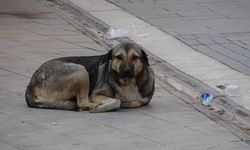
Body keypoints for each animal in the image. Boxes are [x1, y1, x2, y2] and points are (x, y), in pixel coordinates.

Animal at [25, 42, 154, 112]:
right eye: (118, 57)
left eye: (135, 57)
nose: (127, 71)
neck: (128, 82)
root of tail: (31, 84)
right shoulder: (96, 94)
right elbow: (117, 100)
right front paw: (103, 106)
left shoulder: (142, 100)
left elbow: (134, 102)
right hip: (81, 70)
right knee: (82, 102)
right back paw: (94, 106)